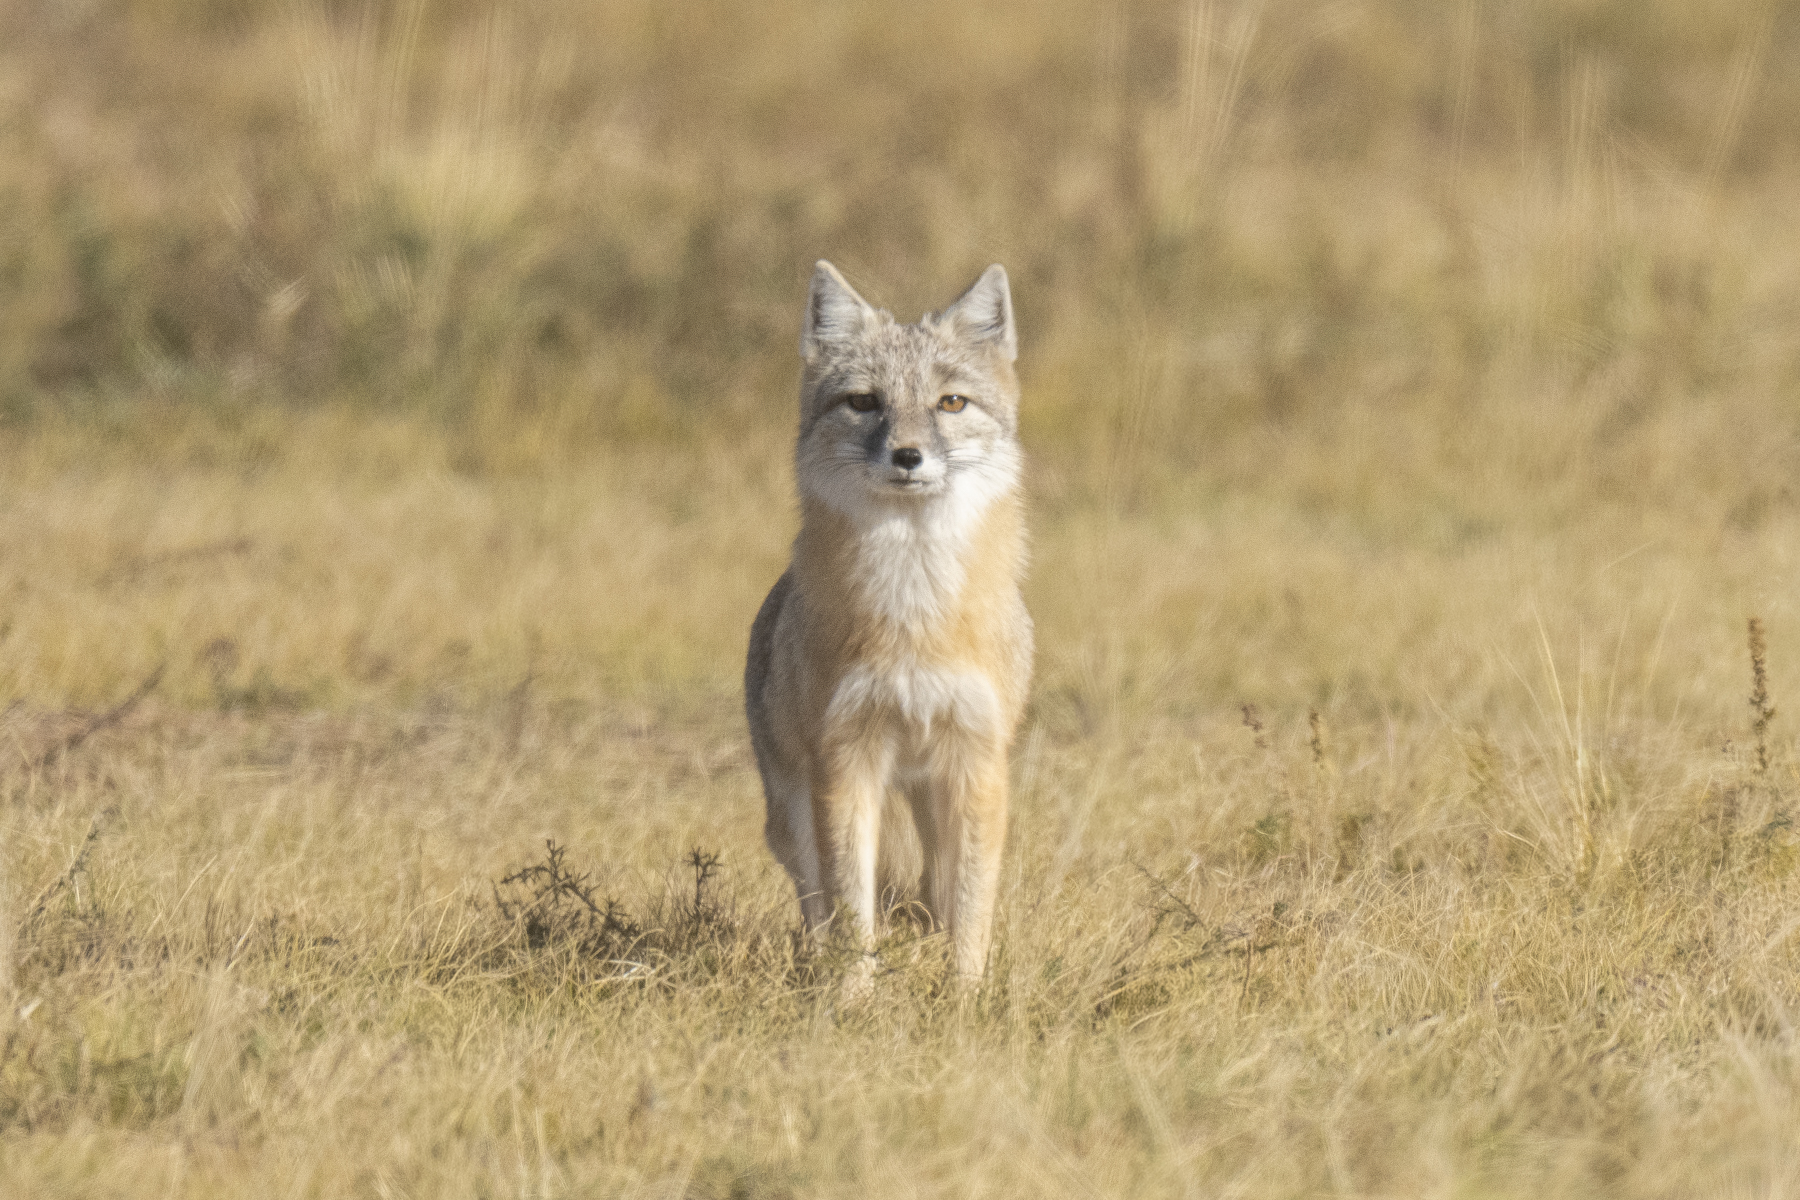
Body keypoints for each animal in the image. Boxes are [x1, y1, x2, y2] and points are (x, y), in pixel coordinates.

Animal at [744, 260, 1032, 984]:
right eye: (865, 403)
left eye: (951, 403)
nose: (907, 456)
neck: (914, 618)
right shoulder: (846, 758)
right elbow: (854, 914)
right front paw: (853, 999)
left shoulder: (978, 759)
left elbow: (971, 908)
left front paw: (967, 995)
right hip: (793, 814)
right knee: (820, 911)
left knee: (938, 893)